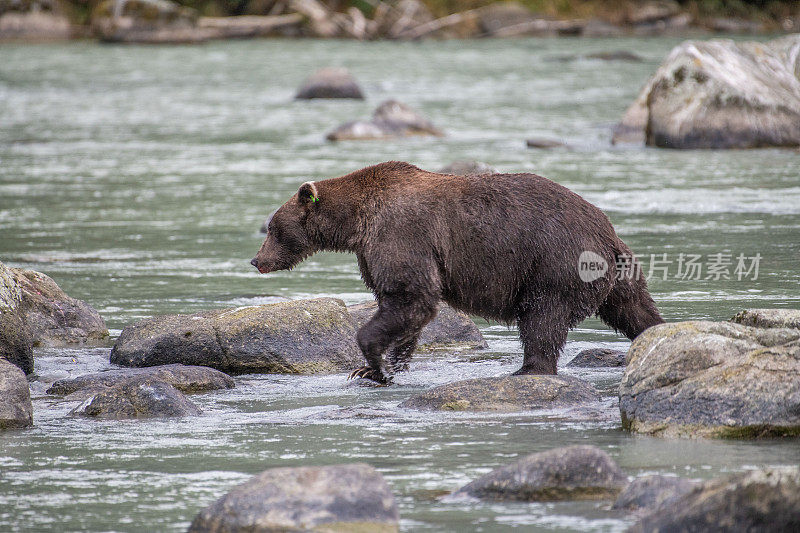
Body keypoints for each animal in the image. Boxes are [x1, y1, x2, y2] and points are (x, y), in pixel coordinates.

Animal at [252, 161, 664, 382]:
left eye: (273, 228)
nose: (257, 260)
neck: (356, 223)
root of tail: (606, 232)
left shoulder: (400, 234)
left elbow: (411, 296)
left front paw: (372, 365)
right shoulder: (372, 252)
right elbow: (406, 307)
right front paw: (389, 364)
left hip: (553, 263)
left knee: (543, 318)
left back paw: (528, 369)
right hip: (616, 272)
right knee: (634, 309)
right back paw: (653, 334)